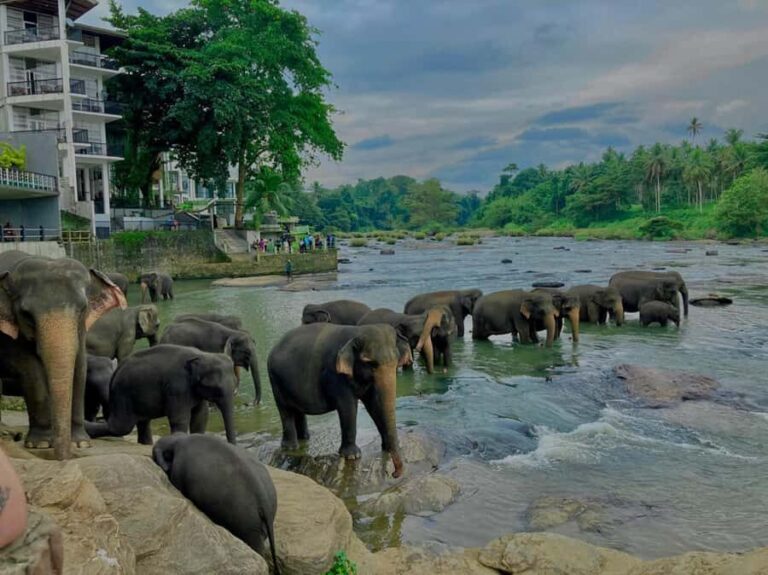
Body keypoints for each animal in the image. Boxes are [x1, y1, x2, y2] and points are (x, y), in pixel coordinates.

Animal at [0, 250, 126, 458]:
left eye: (83, 308)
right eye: (26, 314)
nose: (63, 459)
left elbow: (79, 366)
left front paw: (80, 443)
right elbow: (29, 368)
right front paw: (41, 444)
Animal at [85, 344, 237, 445]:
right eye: (215, 388)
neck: (202, 354)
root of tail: (116, 371)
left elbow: (200, 417)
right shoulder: (176, 387)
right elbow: (180, 418)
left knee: (142, 423)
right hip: (123, 396)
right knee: (120, 427)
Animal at [267, 323, 412, 478]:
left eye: (396, 361)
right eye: (370, 363)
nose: (394, 474)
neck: (356, 332)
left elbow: (374, 405)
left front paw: (386, 448)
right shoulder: (335, 374)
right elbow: (348, 407)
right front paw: (352, 456)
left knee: (297, 410)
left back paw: (305, 438)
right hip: (275, 380)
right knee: (285, 410)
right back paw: (291, 448)